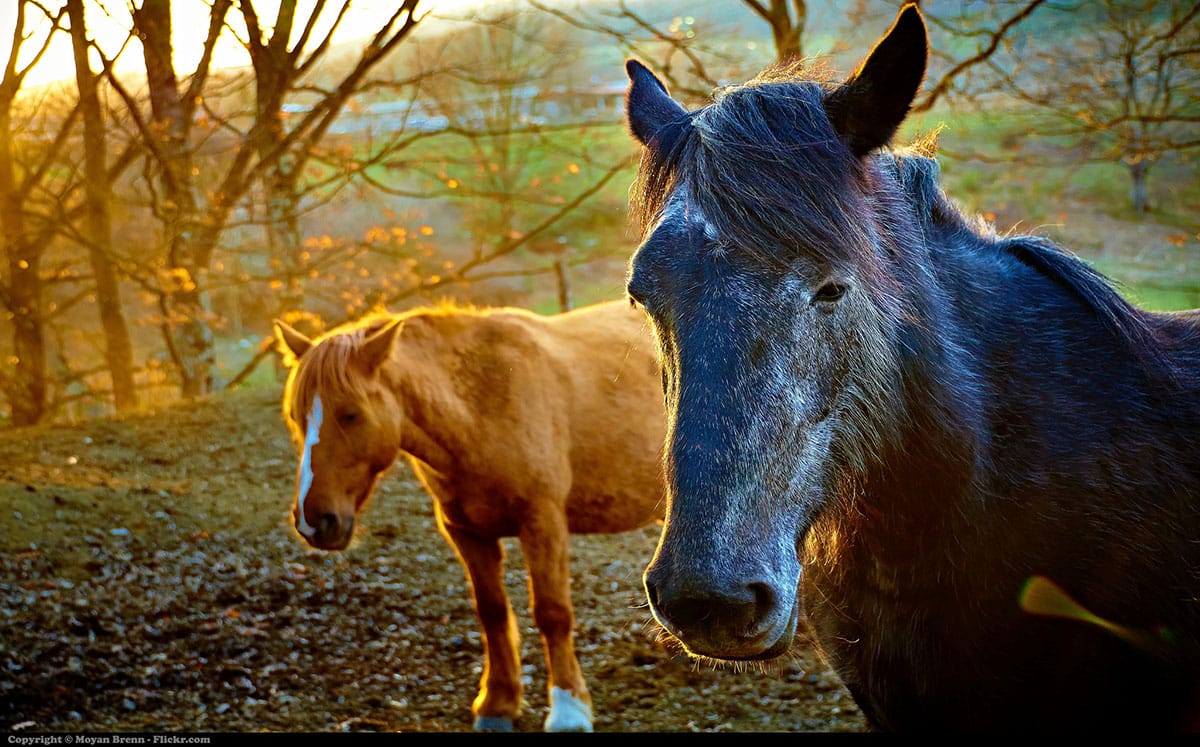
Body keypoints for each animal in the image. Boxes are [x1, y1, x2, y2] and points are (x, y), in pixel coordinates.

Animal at [272, 299, 666, 732]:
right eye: (295, 416)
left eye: (351, 414)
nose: (314, 520)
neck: (482, 405)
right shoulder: (466, 532)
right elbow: (491, 613)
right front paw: (497, 703)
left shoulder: (542, 521)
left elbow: (552, 613)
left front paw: (568, 709)